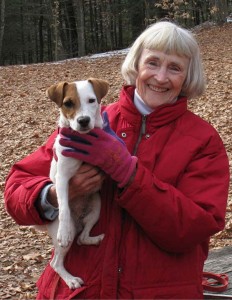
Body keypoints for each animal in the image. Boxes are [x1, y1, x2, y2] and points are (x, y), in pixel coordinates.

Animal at [41, 78, 109, 290]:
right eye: (68, 103)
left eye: (91, 100)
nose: (84, 120)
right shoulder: (63, 178)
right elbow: (63, 206)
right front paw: (63, 231)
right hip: (71, 227)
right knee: (56, 262)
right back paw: (70, 279)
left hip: (96, 207)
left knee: (82, 238)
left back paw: (95, 238)